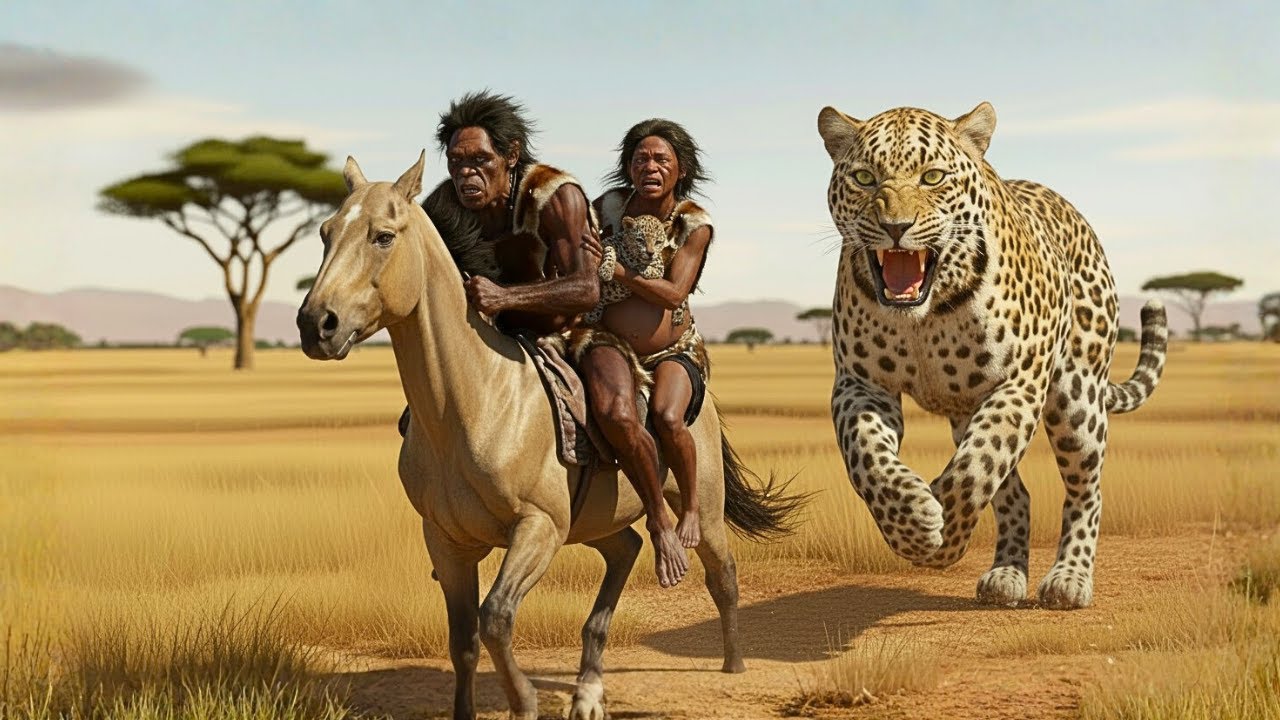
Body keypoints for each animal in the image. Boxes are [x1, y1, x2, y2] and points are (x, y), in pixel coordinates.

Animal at [817, 101, 1168, 609]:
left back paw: (1069, 579)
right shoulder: (861, 385)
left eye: (932, 176)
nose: (895, 228)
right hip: (967, 408)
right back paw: (1006, 574)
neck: (923, 318)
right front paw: (913, 525)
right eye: (865, 178)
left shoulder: (1019, 383)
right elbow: (867, 458)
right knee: (1015, 494)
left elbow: (976, 466)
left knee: (1085, 490)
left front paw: (942, 530)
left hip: (1077, 400)